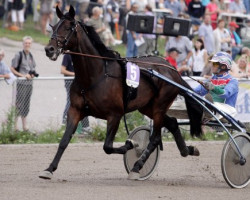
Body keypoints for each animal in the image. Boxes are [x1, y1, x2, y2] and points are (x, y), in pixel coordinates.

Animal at [39, 5, 203, 180]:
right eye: (53, 27)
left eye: (68, 27)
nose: (49, 49)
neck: (95, 76)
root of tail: (173, 70)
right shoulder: (75, 110)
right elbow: (64, 141)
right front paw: (49, 169)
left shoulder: (115, 114)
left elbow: (108, 147)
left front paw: (131, 143)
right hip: (147, 107)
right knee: (172, 122)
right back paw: (187, 150)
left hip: (160, 105)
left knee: (155, 138)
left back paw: (137, 167)